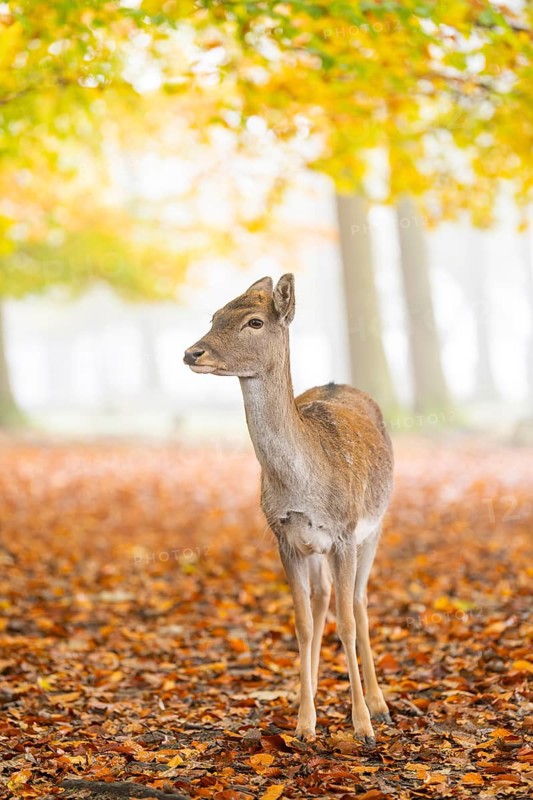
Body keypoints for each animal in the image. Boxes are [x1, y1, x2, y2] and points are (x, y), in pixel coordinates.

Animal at [184, 274, 393, 743]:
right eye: (215, 315)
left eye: (254, 322)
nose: (192, 352)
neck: (301, 488)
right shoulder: (285, 536)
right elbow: (302, 622)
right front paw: (304, 723)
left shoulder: (344, 533)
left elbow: (346, 622)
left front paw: (362, 726)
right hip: (317, 547)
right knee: (322, 599)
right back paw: (308, 695)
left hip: (375, 527)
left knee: (359, 601)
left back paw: (380, 704)